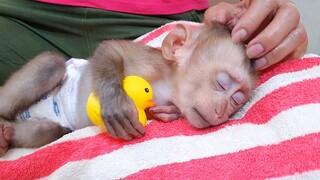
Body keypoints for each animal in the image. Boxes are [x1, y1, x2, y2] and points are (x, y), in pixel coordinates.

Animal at [0, 21, 256, 156]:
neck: (167, 85)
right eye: (222, 83)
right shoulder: (147, 61)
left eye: (236, 101)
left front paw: (168, 114)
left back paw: (6, 136)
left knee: (47, 130)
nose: (222, 112)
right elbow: (110, 49)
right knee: (50, 64)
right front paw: (115, 104)